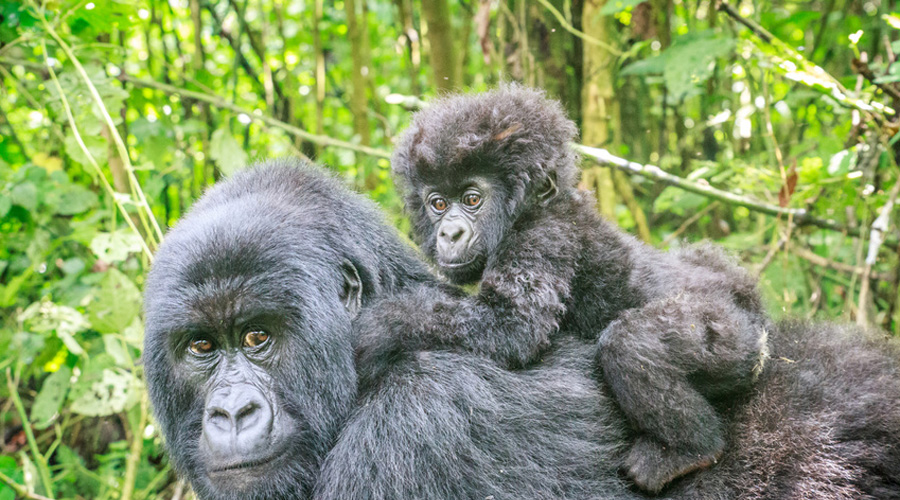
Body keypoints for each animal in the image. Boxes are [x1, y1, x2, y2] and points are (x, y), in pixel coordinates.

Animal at [356, 85, 768, 492]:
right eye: (438, 204)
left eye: (472, 199)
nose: (449, 233)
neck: (531, 209)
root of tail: (748, 298)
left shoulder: (542, 236)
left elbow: (513, 326)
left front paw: (378, 328)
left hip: (736, 335)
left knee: (631, 343)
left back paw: (690, 450)